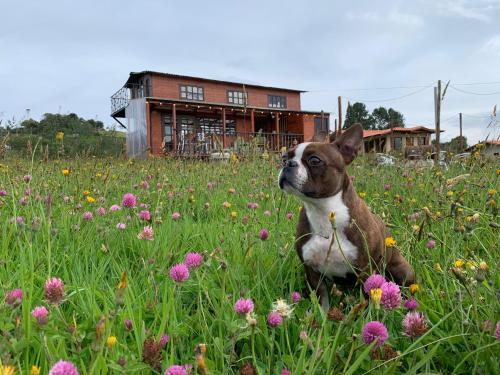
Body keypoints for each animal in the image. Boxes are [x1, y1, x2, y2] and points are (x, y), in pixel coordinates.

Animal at [278, 123, 414, 312]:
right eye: (284, 157)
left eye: (314, 160)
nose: (288, 164)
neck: (324, 211)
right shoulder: (311, 269)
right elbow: (322, 298)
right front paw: (322, 316)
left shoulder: (365, 270)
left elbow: (366, 298)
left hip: (402, 270)